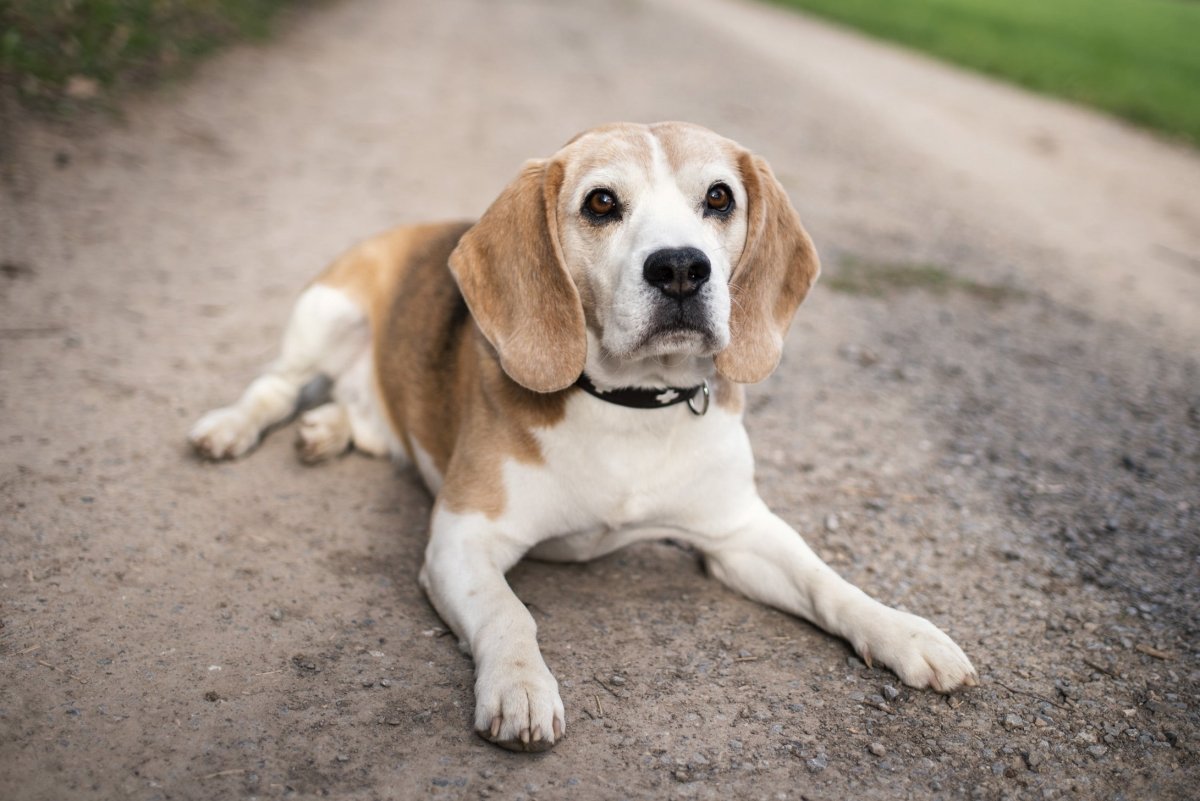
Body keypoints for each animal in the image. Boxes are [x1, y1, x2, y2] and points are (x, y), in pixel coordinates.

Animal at [187, 118, 974, 753]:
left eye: (719, 197)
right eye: (602, 202)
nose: (681, 267)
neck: (632, 406)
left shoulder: (738, 533)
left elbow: (825, 580)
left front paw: (905, 631)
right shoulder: (461, 539)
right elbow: (510, 613)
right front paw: (520, 687)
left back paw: (327, 427)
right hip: (326, 314)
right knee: (274, 385)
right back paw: (229, 428)